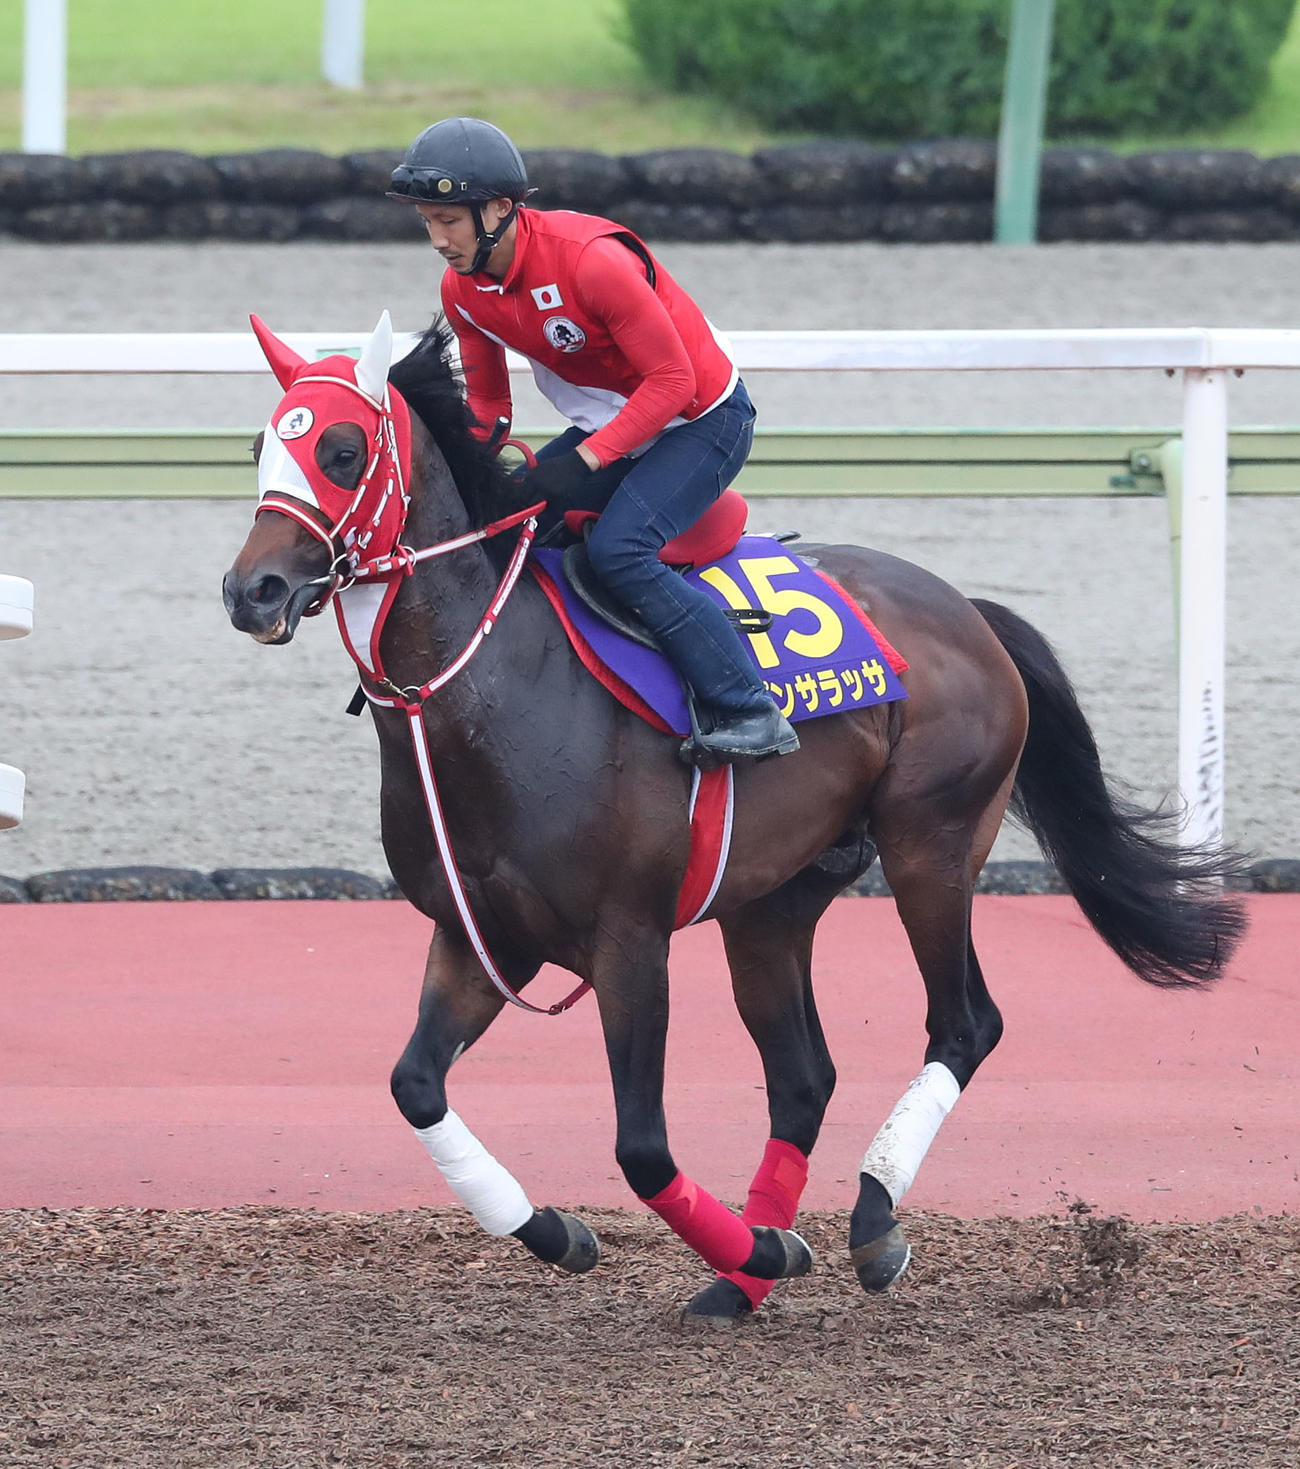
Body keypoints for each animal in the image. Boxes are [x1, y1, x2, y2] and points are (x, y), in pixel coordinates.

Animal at [222, 313, 1247, 1322]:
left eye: (345, 449)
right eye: (263, 446)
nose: (251, 591)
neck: (500, 689)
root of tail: (968, 609)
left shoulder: (631, 940)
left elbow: (641, 1146)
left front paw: (764, 1242)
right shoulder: (480, 937)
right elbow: (416, 1087)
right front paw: (567, 1234)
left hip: (933, 843)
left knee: (965, 1023)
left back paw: (868, 1220)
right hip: (773, 900)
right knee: (803, 1076)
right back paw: (741, 1280)